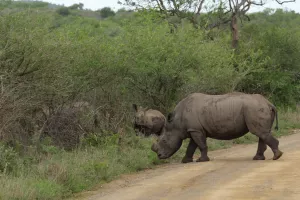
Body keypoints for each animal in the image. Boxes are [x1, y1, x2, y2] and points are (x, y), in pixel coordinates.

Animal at [151, 93, 282, 163]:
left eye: (163, 141)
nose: (159, 156)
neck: (176, 122)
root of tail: (269, 103)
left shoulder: (195, 130)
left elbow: (201, 145)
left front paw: (202, 160)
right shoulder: (195, 129)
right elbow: (192, 146)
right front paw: (185, 161)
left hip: (255, 109)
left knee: (259, 132)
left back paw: (276, 157)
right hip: (257, 109)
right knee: (262, 133)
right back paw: (258, 158)